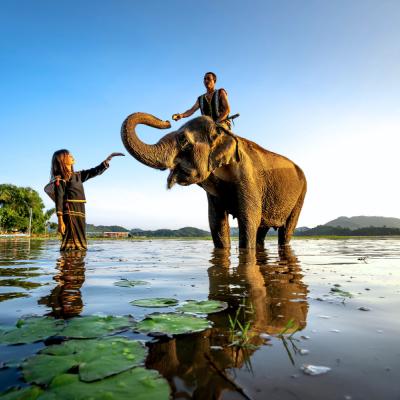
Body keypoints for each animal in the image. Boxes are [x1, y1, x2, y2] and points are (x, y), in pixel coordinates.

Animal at [120, 112, 308, 248]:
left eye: (183, 140)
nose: (168, 120)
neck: (224, 134)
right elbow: (216, 221)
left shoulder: (248, 177)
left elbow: (249, 220)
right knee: (262, 229)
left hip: (302, 194)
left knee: (286, 229)